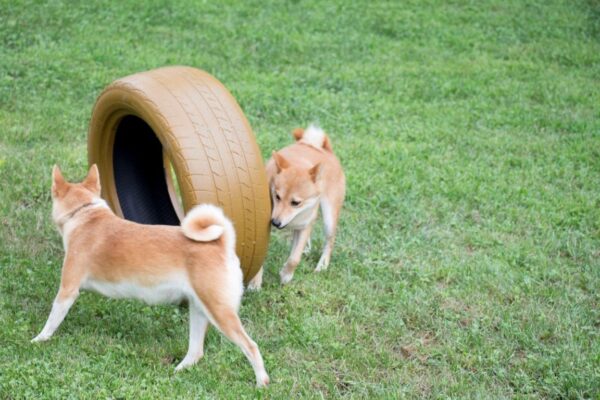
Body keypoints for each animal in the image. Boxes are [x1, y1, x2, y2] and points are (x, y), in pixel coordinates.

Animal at [31, 165, 268, 388]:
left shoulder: (67, 290)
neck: (84, 213)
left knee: (251, 346)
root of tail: (222, 243)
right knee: (196, 352)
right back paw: (179, 370)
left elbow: (52, 320)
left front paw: (38, 339)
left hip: (219, 312)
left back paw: (261, 383)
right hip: (199, 310)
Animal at [246, 125, 344, 288]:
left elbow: (294, 258)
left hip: (329, 218)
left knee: (329, 241)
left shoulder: (304, 225)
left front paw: (286, 275)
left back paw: (322, 264)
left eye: (296, 202)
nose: (275, 223)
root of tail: (323, 148)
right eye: (277, 196)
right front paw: (255, 282)